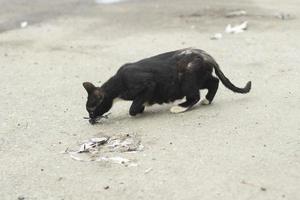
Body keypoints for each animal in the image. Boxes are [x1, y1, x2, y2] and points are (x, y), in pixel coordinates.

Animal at [82, 48, 251, 123]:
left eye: (91, 109)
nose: (90, 119)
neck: (118, 83)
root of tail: (205, 55)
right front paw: (142, 107)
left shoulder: (149, 84)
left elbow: (133, 107)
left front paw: (138, 110)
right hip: (201, 78)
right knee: (214, 82)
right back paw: (207, 100)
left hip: (188, 78)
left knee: (194, 96)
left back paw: (181, 107)